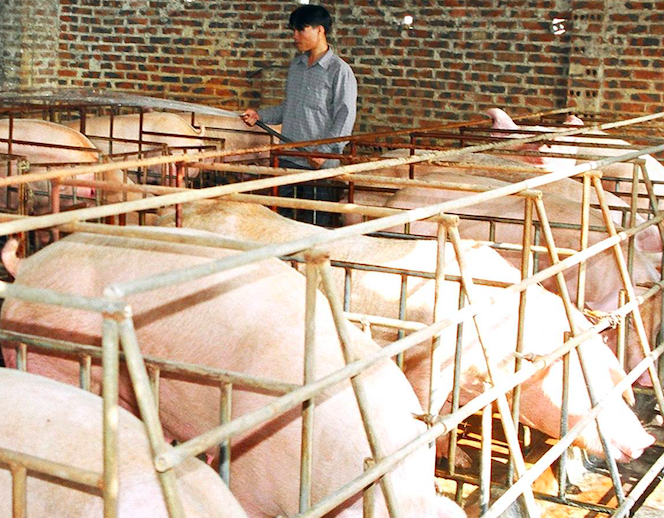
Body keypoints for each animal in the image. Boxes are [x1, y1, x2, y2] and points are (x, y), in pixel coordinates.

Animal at [155, 200, 656, 464]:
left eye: (618, 382)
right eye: (586, 384)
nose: (647, 441)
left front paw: (462, 459)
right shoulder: (431, 362)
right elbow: (428, 411)